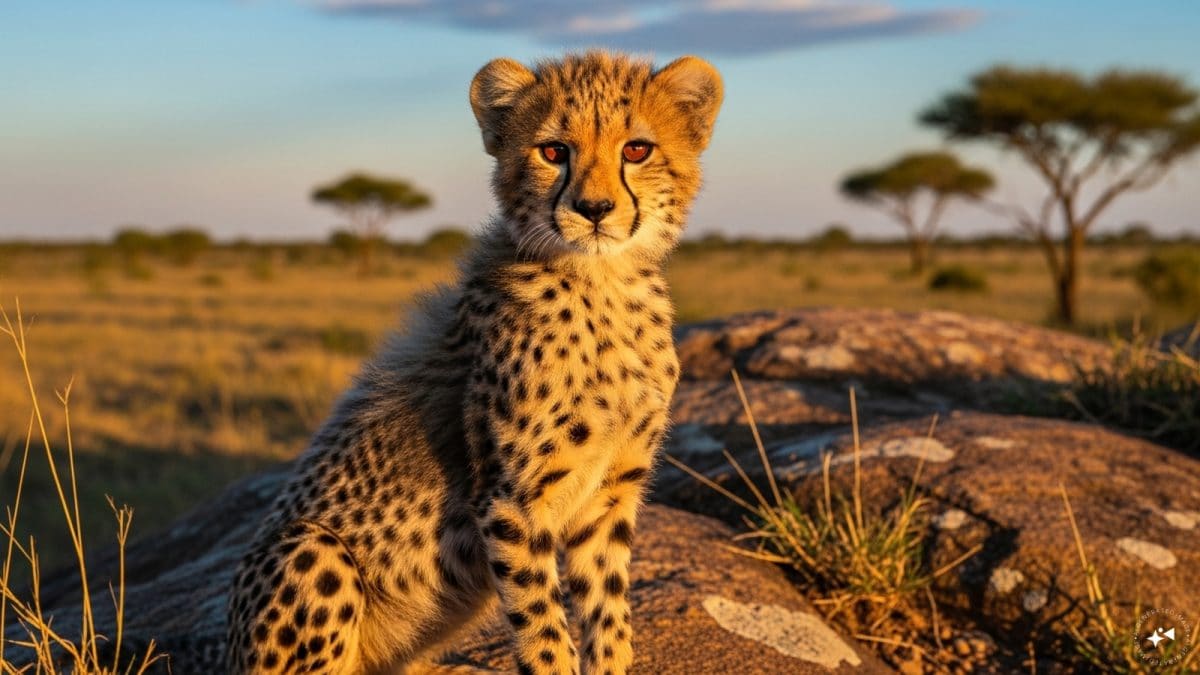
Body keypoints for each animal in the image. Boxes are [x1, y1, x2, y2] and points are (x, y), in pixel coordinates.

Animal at [224, 50, 723, 675]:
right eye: (553, 151)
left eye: (637, 150)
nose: (594, 209)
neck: (601, 283)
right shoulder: (511, 502)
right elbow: (544, 628)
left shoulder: (609, 494)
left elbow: (607, 614)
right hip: (314, 549)